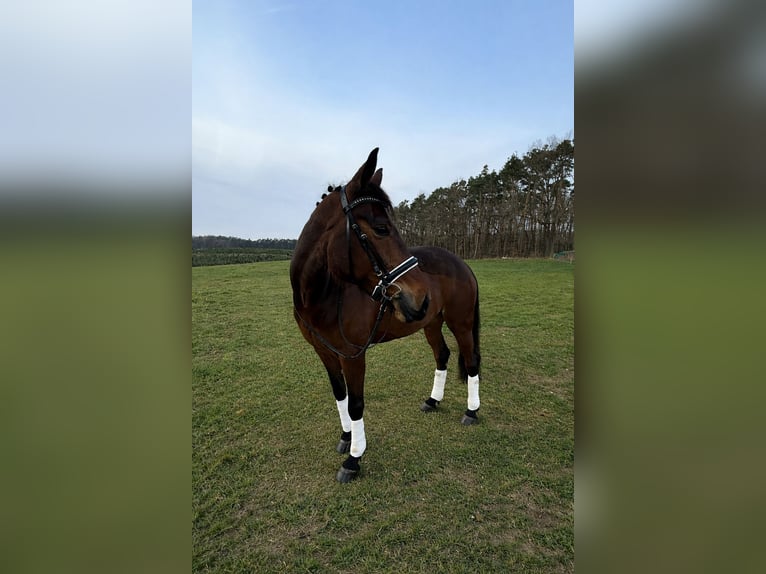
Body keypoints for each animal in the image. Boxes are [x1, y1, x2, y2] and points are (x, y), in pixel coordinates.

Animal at [290, 148, 481, 483]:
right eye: (381, 228)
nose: (419, 295)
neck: (323, 294)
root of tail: (460, 262)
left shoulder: (353, 355)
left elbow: (356, 404)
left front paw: (354, 459)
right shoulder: (325, 352)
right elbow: (340, 395)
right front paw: (346, 438)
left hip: (461, 323)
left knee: (470, 361)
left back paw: (471, 411)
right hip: (431, 322)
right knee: (442, 355)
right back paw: (433, 401)